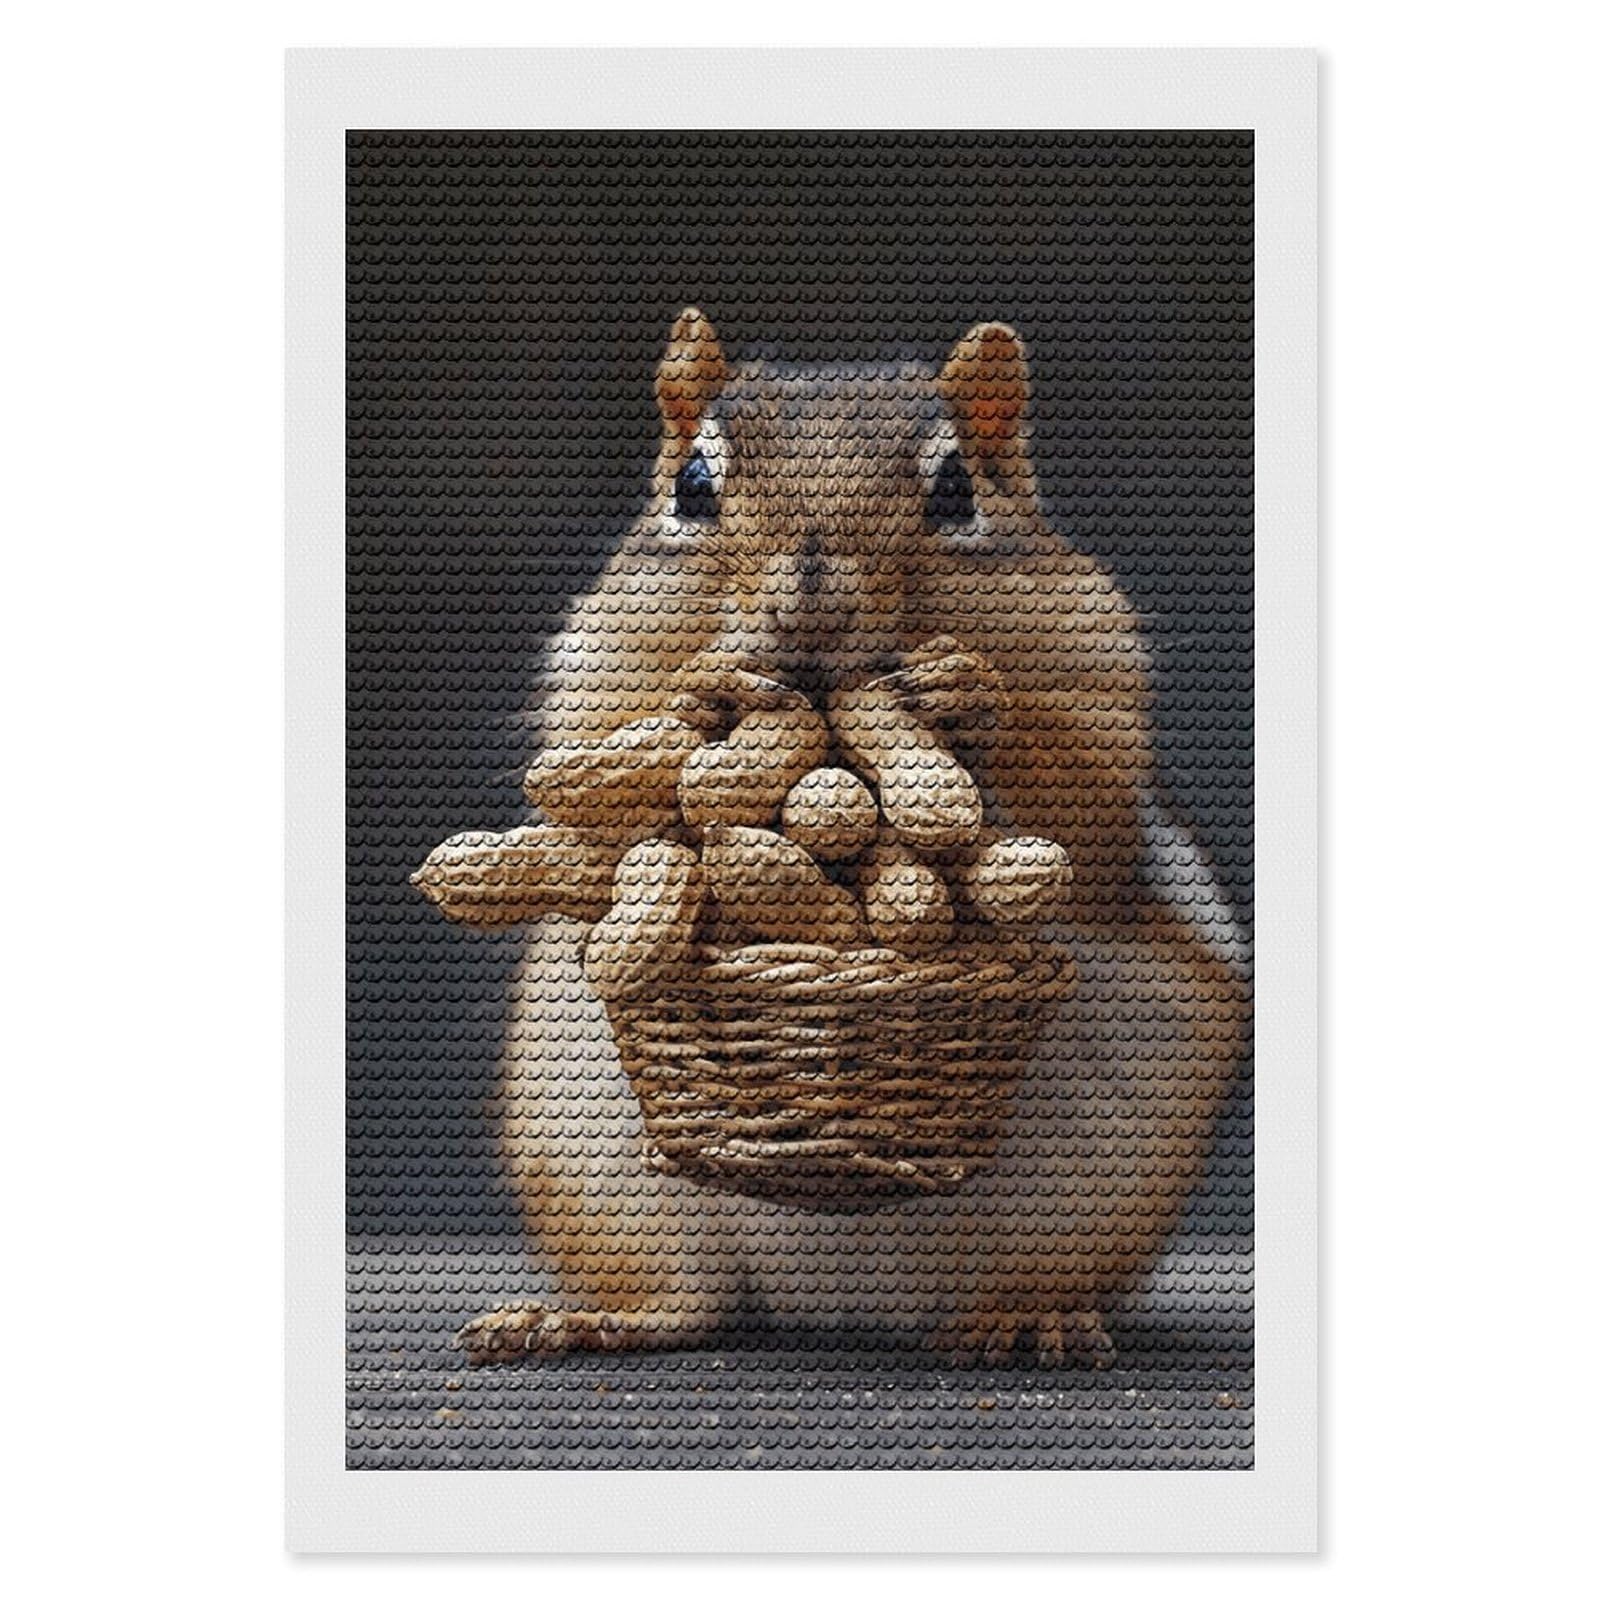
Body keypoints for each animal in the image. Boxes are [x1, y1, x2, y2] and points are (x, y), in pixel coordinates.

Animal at [456, 308, 1250, 1367]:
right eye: (691, 487)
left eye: (957, 491)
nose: (809, 608)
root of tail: (839, 1294)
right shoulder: (595, 684)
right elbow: (605, 758)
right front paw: (708, 688)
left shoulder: (1100, 690)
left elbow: (1079, 790)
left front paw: (969, 696)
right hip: (591, 1151)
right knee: (683, 1304)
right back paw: (583, 1318)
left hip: (1115, 1155)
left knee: (1035, 1270)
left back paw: (1027, 1317)